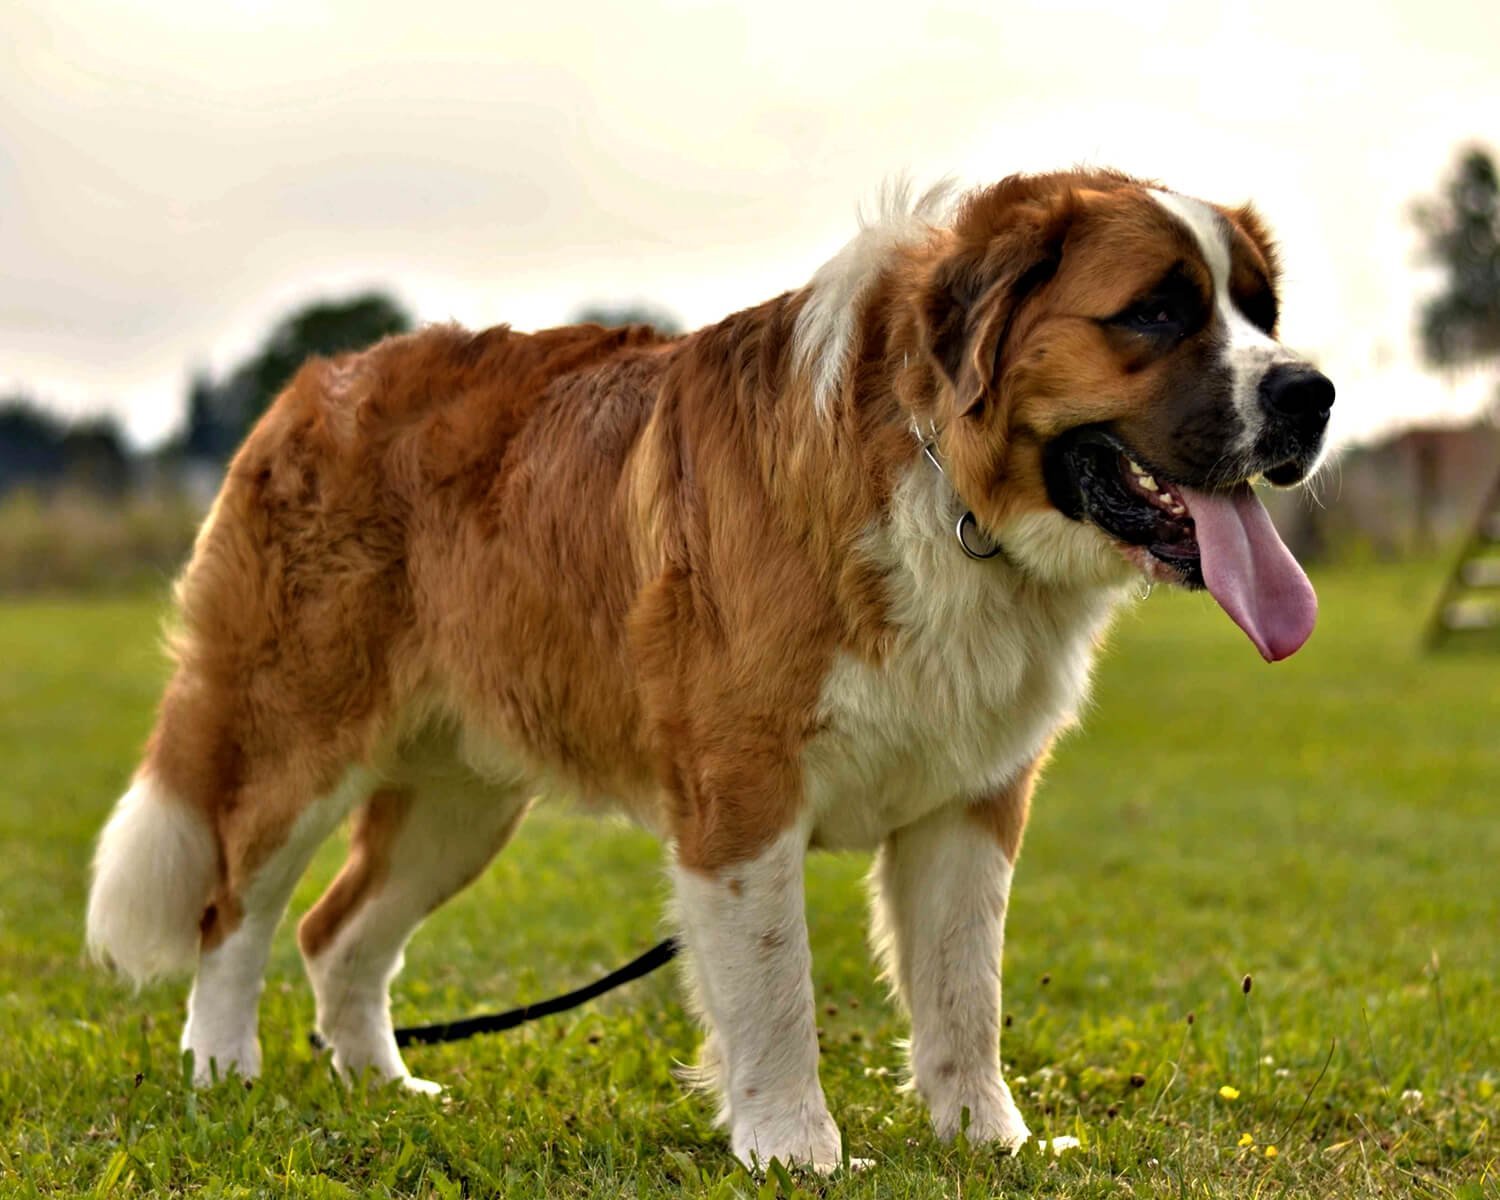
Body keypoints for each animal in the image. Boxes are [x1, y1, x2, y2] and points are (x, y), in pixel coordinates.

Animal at [90, 171, 1338, 1170]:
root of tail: (313, 383)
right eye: (1158, 312)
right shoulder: (742, 794)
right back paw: (224, 1071)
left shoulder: (968, 803)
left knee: (337, 932)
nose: (1310, 392)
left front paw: (989, 1142)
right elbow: (776, 990)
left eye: (1261, 311)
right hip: (297, 736)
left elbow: (961, 991)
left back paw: (387, 1089)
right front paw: (795, 1148)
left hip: (461, 800)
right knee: (235, 909)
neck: (936, 482)